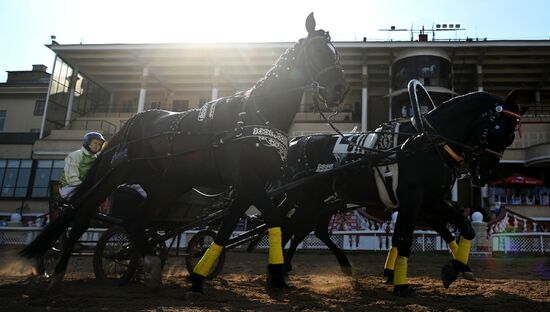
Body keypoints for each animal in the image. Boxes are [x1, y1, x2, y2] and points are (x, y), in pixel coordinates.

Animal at [21, 12, 352, 294]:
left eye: (336, 52)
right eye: (317, 51)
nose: (340, 90)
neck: (256, 113)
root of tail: (131, 124)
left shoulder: (246, 186)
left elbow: (227, 230)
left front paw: (201, 275)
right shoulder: (247, 179)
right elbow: (274, 219)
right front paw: (275, 275)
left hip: (165, 187)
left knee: (135, 222)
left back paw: (147, 263)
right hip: (113, 176)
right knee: (81, 218)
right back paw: (59, 272)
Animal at [274, 89, 524, 296]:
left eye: (511, 136)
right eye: (499, 129)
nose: (486, 173)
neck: (426, 142)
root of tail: (293, 143)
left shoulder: (430, 202)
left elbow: (463, 227)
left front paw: (457, 268)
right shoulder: (413, 202)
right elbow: (405, 238)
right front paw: (401, 284)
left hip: (320, 204)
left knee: (307, 230)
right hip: (304, 202)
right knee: (288, 227)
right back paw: (281, 272)